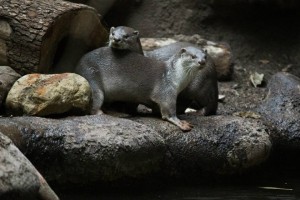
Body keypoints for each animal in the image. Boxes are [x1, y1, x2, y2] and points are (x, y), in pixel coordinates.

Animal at [75, 46, 206, 131]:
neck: (174, 76)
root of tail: (77, 65)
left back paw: (119, 113)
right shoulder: (166, 91)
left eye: (205, 56)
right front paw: (181, 123)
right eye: (193, 56)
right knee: (94, 108)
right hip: (91, 77)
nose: (202, 62)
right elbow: (168, 112)